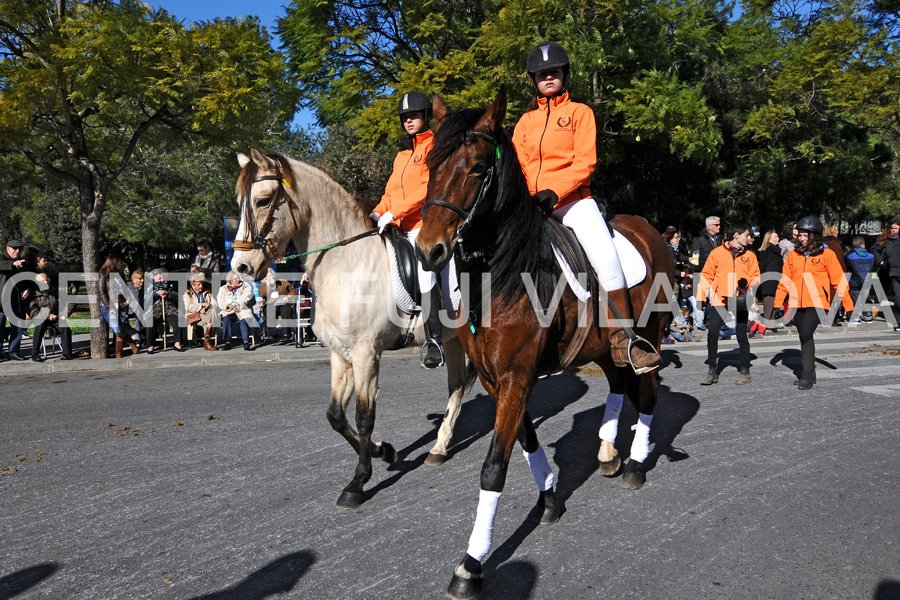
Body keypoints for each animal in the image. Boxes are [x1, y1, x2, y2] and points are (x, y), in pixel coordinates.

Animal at [232, 149, 468, 506]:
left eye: (262, 201)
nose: (241, 267)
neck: (346, 263)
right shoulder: (340, 354)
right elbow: (335, 416)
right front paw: (385, 451)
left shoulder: (365, 353)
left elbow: (363, 416)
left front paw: (358, 482)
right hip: (455, 340)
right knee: (459, 385)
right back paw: (439, 448)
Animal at [414, 90, 676, 600]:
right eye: (431, 162)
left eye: (478, 167)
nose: (428, 250)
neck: (503, 275)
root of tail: (651, 231)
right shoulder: (499, 379)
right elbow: (525, 439)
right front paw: (551, 498)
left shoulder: (516, 376)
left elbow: (494, 466)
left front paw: (471, 563)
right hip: (604, 348)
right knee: (620, 384)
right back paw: (608, 453)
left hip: (651, 336)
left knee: (649, 392)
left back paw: (634, 465)